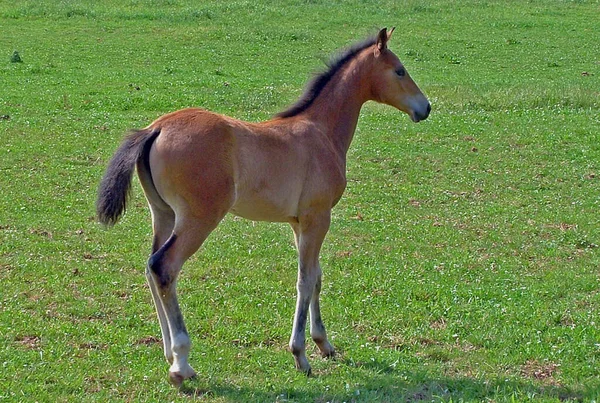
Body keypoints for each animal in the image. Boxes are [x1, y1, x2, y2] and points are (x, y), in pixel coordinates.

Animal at [96, 26, 428, 386]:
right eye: (399, 70)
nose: (425, 107)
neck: (321, 131)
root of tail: (155, 128)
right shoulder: (318, 217)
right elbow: (305, 280)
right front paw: (300, 355)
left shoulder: (300, 222)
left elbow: (316, 276)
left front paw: (324, 343)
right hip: (198, 218)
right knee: (164, 266)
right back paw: (182, 363)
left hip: (163, 214)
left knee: (150, 268)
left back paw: (169, 354)